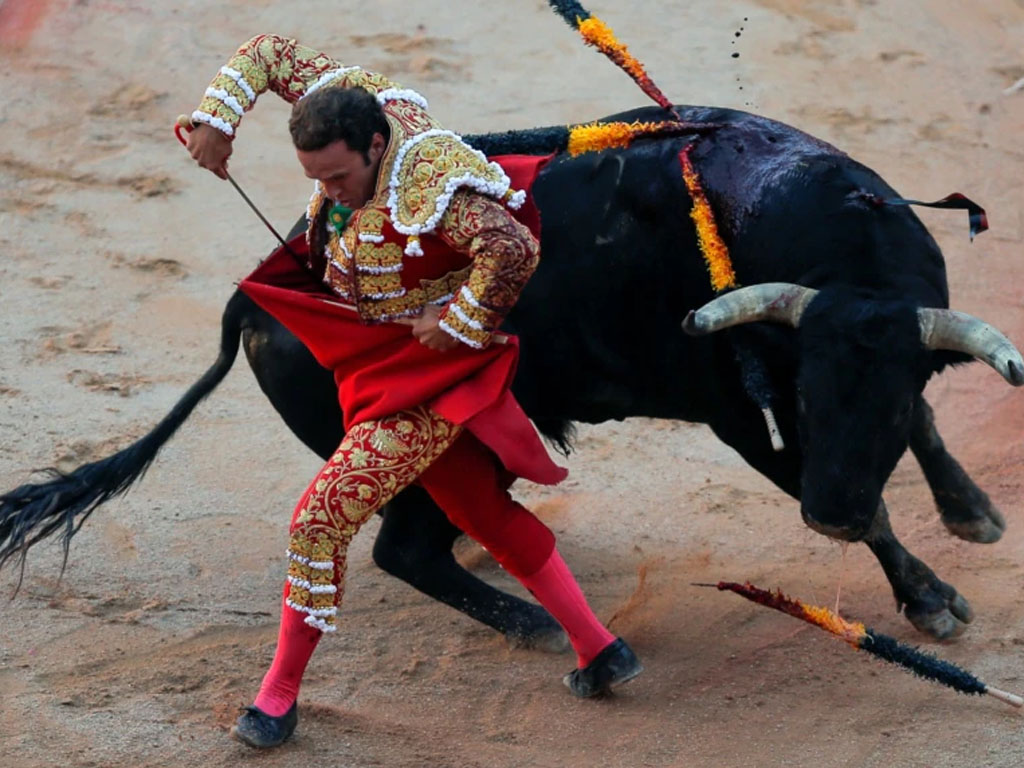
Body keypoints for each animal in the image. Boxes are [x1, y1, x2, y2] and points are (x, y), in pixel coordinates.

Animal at [2, 103, 1024, 643]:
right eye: (807, 394)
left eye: (888, 400)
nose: (830, 516)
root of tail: (257, 295)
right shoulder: (744, 417)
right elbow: (867, 502)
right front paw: (931, 599)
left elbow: (927, 438)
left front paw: (970, 512)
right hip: (431, 446)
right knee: (404, 549)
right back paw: (529, 617)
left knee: (424, 541)